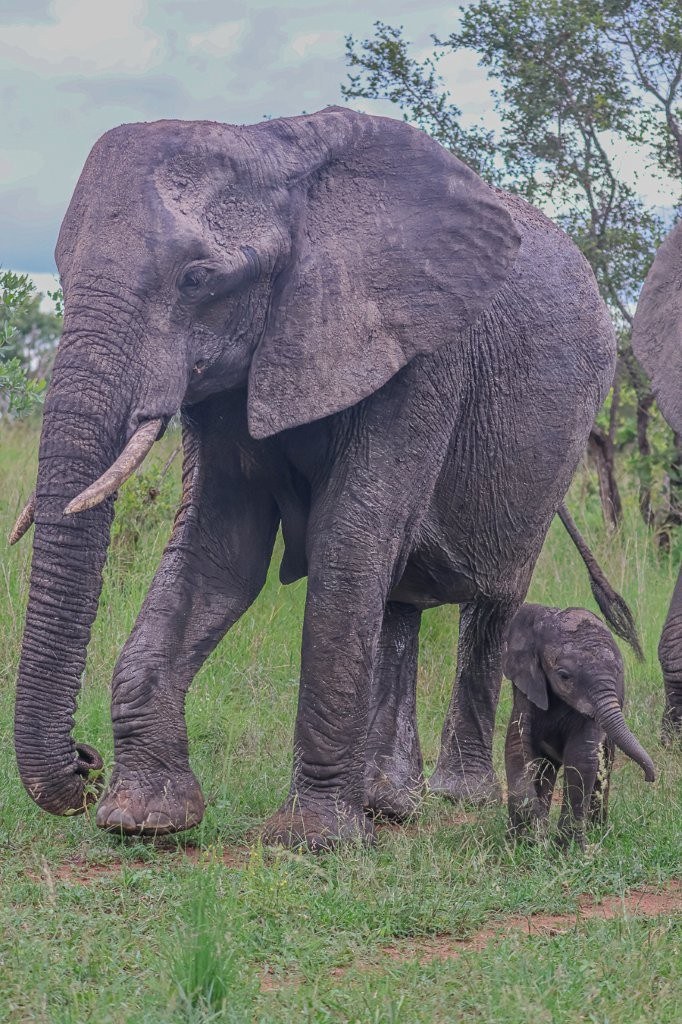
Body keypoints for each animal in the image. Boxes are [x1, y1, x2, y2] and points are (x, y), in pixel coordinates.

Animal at [11, 105, 634, 851]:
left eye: (196, 278)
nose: (84, 763)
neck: (274, 150)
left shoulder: (425, 353)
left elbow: (348, 539)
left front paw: (314, 840)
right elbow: (221, 552)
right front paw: (144, 819)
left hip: (554, 443)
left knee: (492, 600)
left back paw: (456, 797)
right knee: (398, 601)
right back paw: (390, 802)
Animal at [503, 604, 656, 847]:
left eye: (618, 673)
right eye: (564, 676)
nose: (650, 777)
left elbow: (581, 756)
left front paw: (567, 848)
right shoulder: (526, 688)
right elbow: (518, 747)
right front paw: (529, 838)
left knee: (603, 765)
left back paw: (597, 829)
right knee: (546, 767)